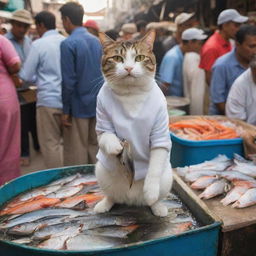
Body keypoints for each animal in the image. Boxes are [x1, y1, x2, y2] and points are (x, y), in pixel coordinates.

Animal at [93, 30, 173, 218]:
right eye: (117, 58)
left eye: (139, 57)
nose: (128, 68)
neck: (131, 94)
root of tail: (131, 199)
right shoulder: (102, 122)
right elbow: (106, 136)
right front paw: (115, 145)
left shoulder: (160, 135)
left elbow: (155, 165)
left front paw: (151, 192)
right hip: (101, 171)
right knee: (112, 196)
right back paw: (105, 204)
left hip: (167, 177)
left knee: (155, 196)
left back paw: (156, 206)